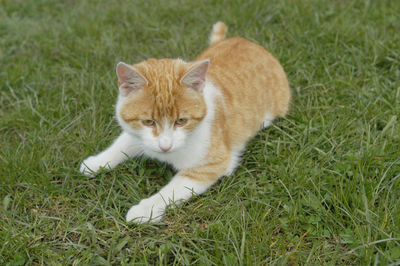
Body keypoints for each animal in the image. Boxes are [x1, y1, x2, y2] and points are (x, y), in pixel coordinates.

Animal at [79, 21, 290, 223]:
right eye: (148, 121)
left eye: (181, 121)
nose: (165, 146)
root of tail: (247, 41)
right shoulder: (138, 136)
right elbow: (120, 145)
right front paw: (96, 162)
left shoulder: (209, 166)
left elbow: (171, 190)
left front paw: (146, 209)